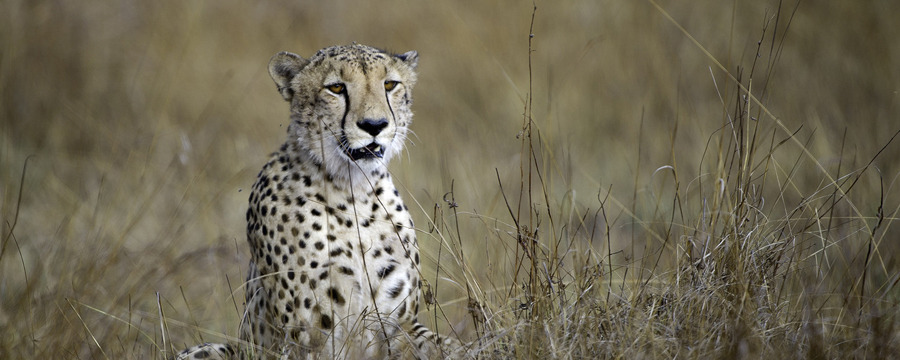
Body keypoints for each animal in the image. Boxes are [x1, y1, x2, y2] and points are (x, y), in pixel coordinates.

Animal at [174, 45, 464, 360]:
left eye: (390, 84)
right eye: (336, 88)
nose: (374, 125)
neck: (354, 190)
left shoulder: (400, 325)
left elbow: (451, 346)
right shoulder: (308, 337)